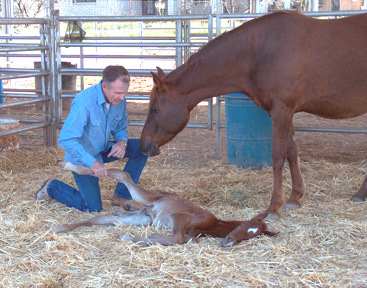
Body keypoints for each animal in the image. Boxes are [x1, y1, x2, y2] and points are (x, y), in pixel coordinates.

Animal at [49, 163, 278, 246]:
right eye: (244, 226)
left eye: (253, 235)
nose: (229, 242)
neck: (211, 224)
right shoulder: (180, 218)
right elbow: (177, 238)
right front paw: (134, 238)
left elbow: (183, 239)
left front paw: (146, 239)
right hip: (147, 198)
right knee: (122, 175)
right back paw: (70, 166)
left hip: (143, 217)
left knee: (102, 218)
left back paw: (58, 227)